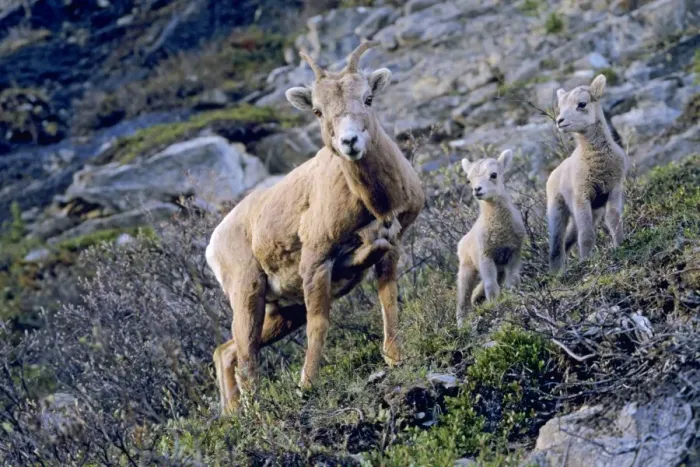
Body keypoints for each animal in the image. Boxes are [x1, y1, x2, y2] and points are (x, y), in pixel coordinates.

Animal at [206, 41, 425, 414]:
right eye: (317, 111)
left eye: (368, 98)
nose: (350, 142)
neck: (374, 204)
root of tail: (213, 245)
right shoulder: (316, 263)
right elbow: (319, 325)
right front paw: (306, 386)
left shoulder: (390, 246)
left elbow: (389, 298)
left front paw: (395, 358)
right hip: (248, 292)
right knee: (247, 355)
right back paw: (256, 415)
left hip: (284, 311)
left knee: (228, 351)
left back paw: (234, 415)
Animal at [456, 149, 525, 328]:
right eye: (469, 180)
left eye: (493, 174)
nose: (477, 189)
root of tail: (462, 242)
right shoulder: (485, 257)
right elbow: (491, 286)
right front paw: (494, 304)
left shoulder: (514, 253)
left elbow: (512, 279)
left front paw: (513, 296)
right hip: (467, 268)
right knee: (463, 298)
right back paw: (462, 323)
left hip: (498, 268)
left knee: (476, 292)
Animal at [547, 74, 627, 274]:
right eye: (560, 106)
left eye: (582, 104)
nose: (560, 121)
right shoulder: (581, 196)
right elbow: (587, 233)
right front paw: (587, 261)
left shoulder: (613, 190)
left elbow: (613, 219)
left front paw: (620, 245)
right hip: (557, 210)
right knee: (557, 243)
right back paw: (556, 274)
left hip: (591, 210)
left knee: (568, 240)